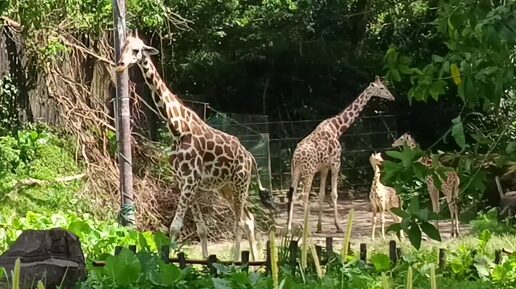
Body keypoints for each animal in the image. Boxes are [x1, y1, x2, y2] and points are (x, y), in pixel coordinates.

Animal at [115, 35, 276, 260]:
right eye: (122, 47)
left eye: (137, 50)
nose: (121, 65)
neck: (177, 126)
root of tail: (250, 157)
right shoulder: (185, 182)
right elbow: (201, 228)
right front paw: (204, 261)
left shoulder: (190, 180)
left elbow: (175, 226)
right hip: (226, 188)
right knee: (248, 219)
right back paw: (254, 261)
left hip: (240, 184)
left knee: (239, 222)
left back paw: (237, 261)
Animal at [286, 75, 396, 233]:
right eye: (381, 88)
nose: (392, 97)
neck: (337, 128)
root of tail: (297, 157)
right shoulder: (336, 163)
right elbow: (334, 194)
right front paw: (338, 226)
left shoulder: (324, 167)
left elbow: (322, 195)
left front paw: (319, 227)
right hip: (309, 171)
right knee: (304, 196)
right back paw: (306, 230)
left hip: (296, 170)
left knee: (293, 195)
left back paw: (289, 228)